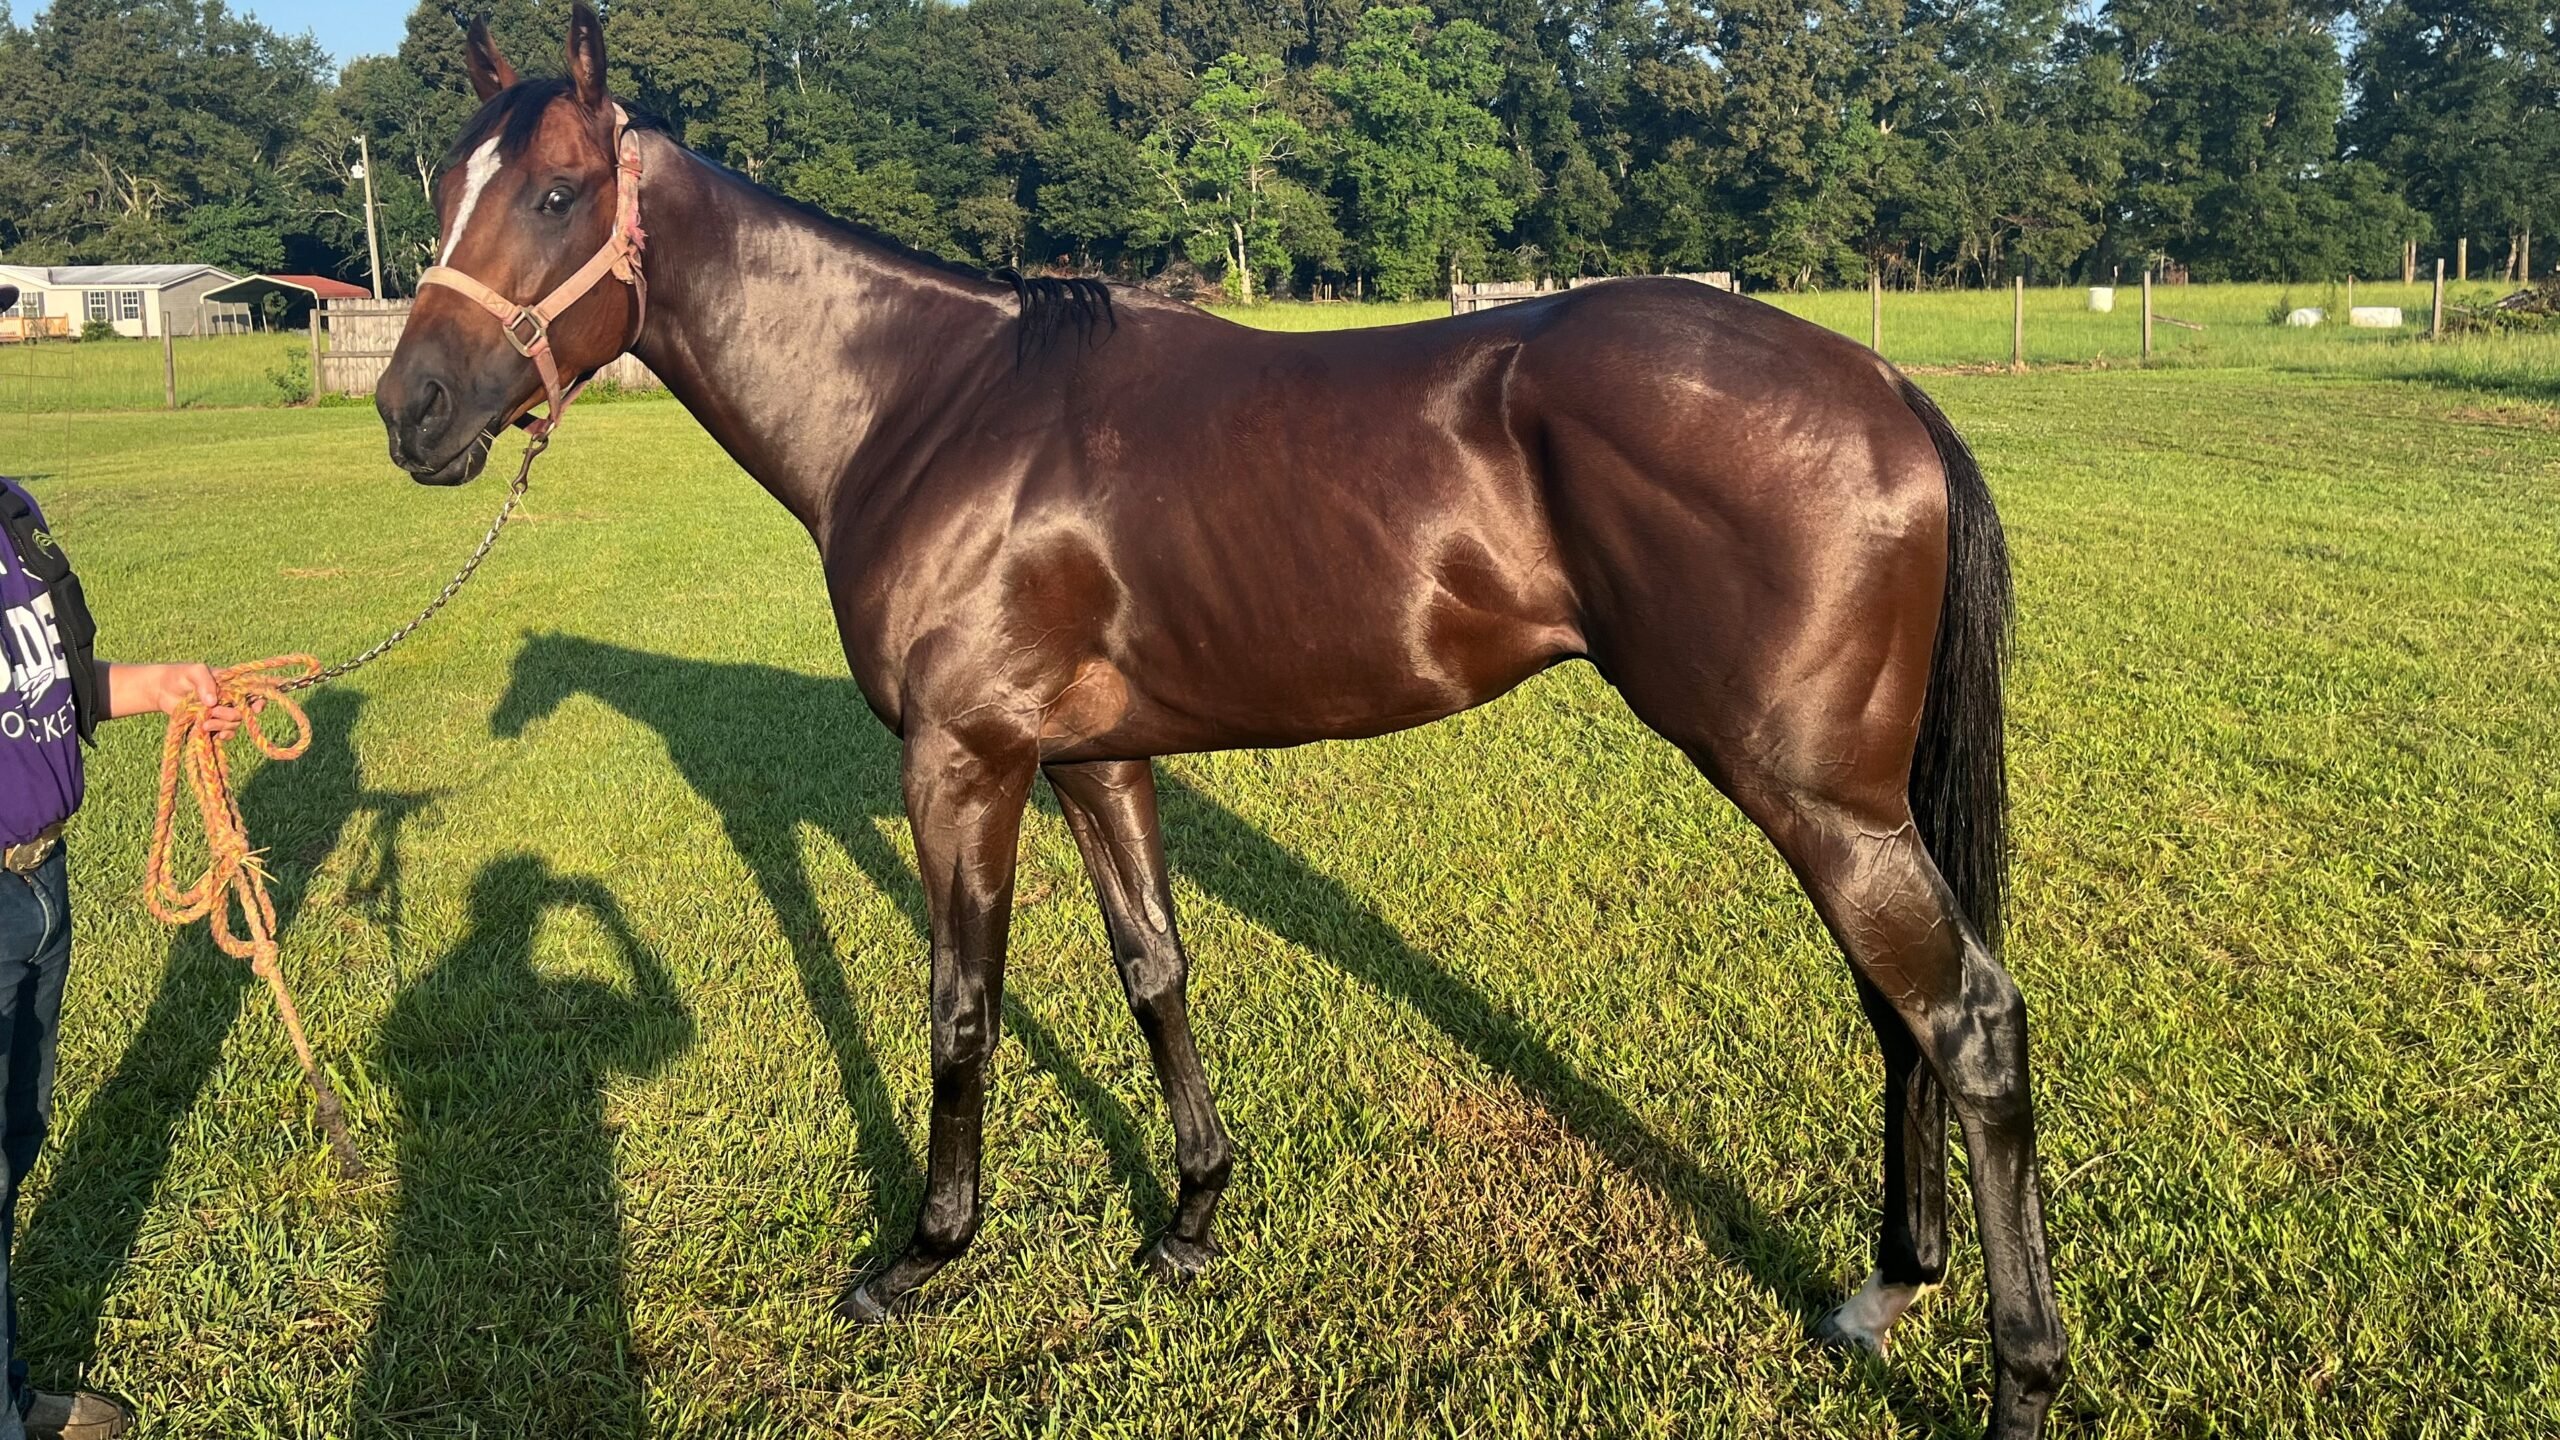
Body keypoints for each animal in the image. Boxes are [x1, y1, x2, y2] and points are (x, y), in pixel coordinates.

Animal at [374, 7, 2067, 1432]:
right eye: (446, 188)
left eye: (558, 193)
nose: (412, 411)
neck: (927, 407)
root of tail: (1879, 384)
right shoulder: (1091, 758)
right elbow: (1154, 971)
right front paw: (1192, 1214)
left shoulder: (963, 764)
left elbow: (960, 1005)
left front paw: (924, 1255)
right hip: (1846, 802)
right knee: (1902, 1019)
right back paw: (1885, 1287)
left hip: (1816, 797)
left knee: (1968, 1023)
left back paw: (2017, 1376)